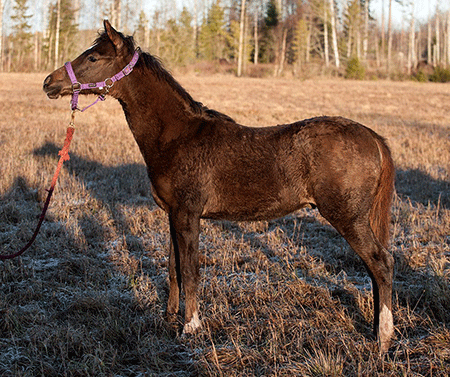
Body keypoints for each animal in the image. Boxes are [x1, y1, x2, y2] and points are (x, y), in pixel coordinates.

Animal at [41, 20, 394, 352]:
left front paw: (191, 326)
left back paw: (384, 337)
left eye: (93, 57)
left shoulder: (188, 214)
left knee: (381, 263)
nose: (48, 82)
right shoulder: (173, 215)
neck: (178, 136)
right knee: (375, 268)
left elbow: (191, 270)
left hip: (348, 217)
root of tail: (373, 137)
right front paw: (170, 318)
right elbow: (174, 268)